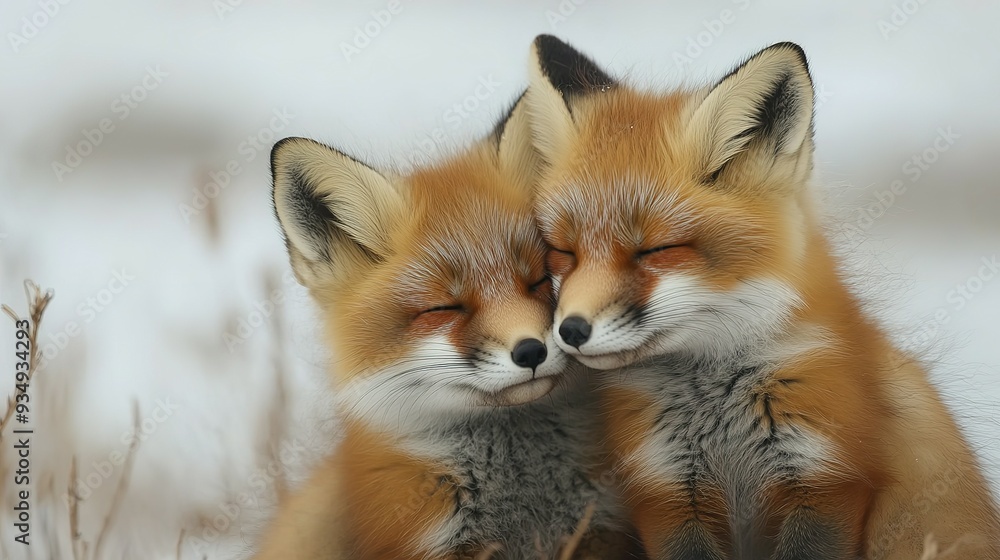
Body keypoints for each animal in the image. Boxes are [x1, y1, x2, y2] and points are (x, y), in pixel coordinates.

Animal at [520, 34, 1000, 560]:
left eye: (656, 250)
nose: (570, 331)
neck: (715, 407)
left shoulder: (826, 483)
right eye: (563, 251)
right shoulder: (668, 492)